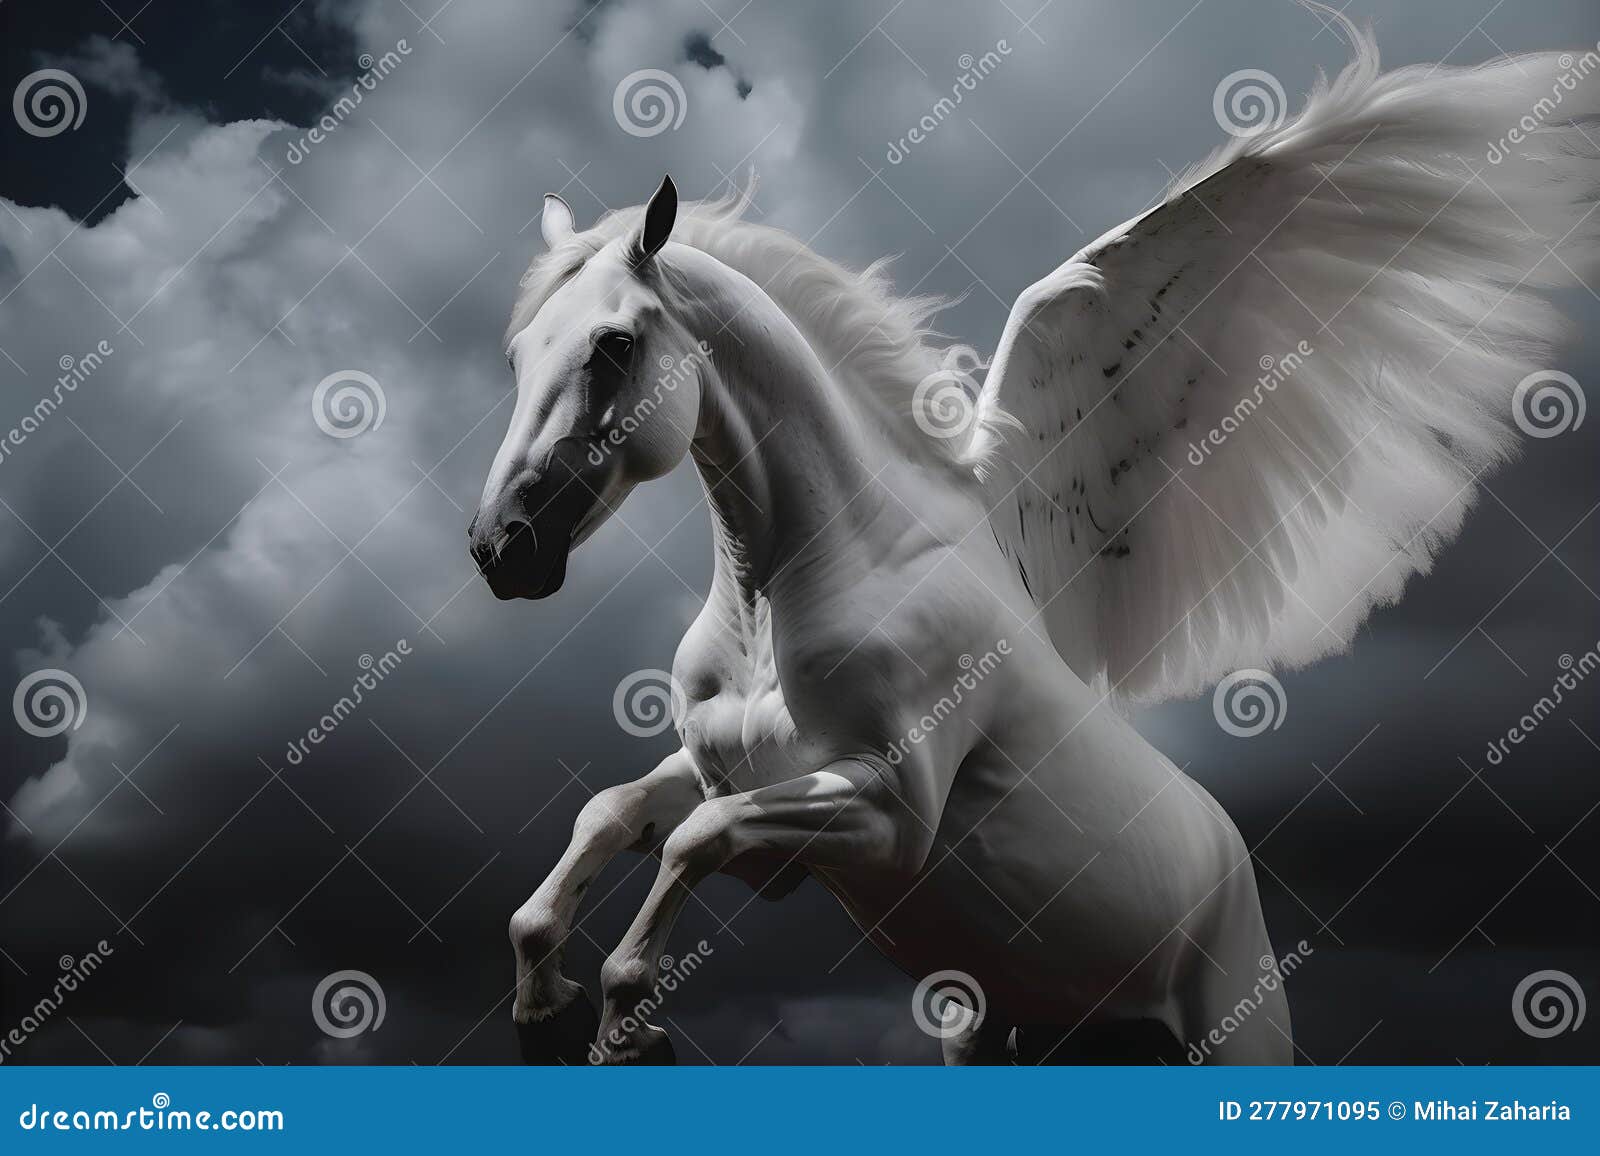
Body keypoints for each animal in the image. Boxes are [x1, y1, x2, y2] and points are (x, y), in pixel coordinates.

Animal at [468, 14, 1598, 1064]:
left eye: (614, 346)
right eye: (517, 352)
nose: (499, 548)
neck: (785, 586)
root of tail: (1234, 859)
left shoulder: (887, 815)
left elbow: (692, 845)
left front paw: (625, 1025)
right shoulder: (726, 769)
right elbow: (607, 817)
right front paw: (543, 1006)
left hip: (1228, 1035)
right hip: (1004, 1030)